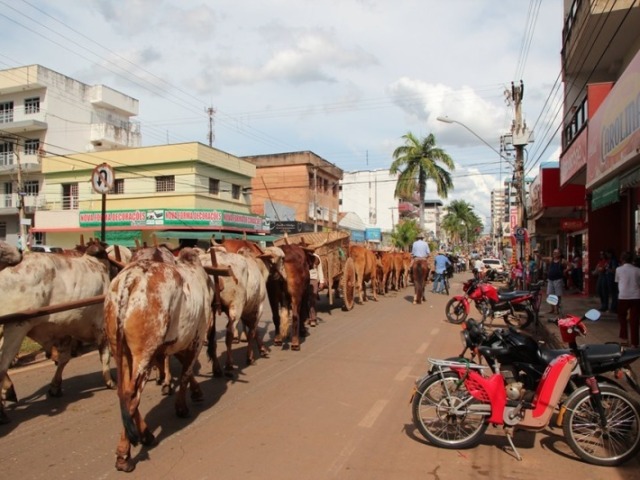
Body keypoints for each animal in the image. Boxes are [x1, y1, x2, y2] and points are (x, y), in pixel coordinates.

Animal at [0, 240, 113, 424]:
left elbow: (63, 359)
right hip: (16, 328)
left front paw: (55, 387)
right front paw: (109, 381)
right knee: (2, 364)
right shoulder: (101, 327)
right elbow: (105, 356)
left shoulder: (64, 331)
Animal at [104, 248, 214, 472]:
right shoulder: (196, 339)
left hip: (121, 350)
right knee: (131, 394)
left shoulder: (170, 344)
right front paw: (182, 407)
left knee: (124, 392)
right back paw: (124, 455)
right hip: (144, 352)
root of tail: (131, 278)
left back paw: (144, 435)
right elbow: (186, 372)